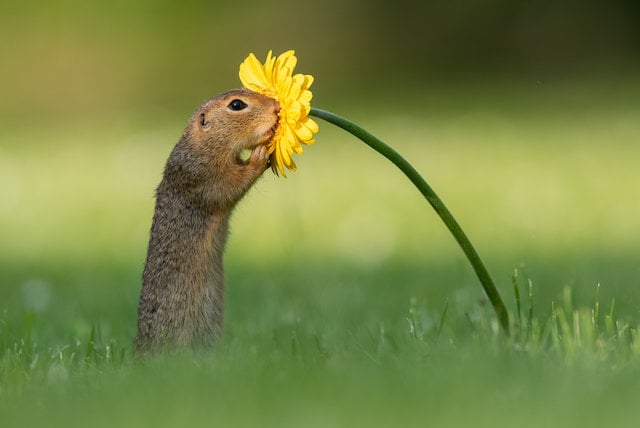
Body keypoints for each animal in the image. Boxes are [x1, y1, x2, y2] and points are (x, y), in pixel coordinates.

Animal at [135, 88, 278, 352]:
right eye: (236, 105)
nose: (276, 107)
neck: (203, 144)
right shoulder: (202, 175)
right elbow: (230, 186)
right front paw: (260, 155)